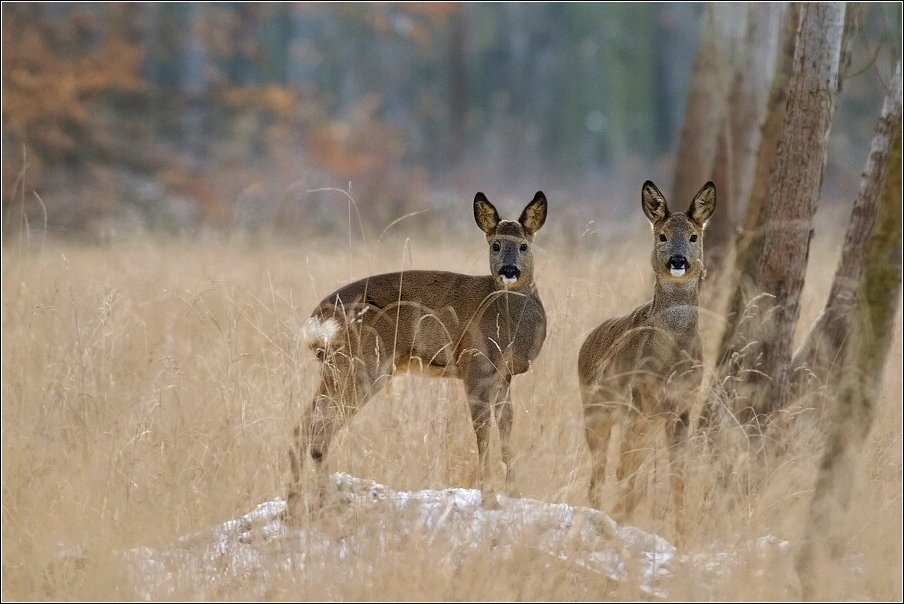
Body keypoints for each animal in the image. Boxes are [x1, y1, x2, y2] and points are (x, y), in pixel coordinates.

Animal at [290, 192, 548, 516]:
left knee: (304, 428)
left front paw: (514, 492)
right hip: (362, 365)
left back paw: (297, 502)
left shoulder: (503, 374)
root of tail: (317, 321)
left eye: (524, 245)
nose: (509, 271)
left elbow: (506, 425)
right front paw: (489, 498)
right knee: (318, 431)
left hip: (341, 369)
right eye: (496, 245)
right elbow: (482, 429)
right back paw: (326, 501)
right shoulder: (475, 363)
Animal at [584, 179, 716, 532]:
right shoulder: (640, 400)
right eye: (663, 236)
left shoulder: (682, 406)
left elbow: (677, 475)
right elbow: (628, 469)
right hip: (598, 411)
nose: (678, 260)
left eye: (694, 236)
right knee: (603, 467)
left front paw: (682, 530)